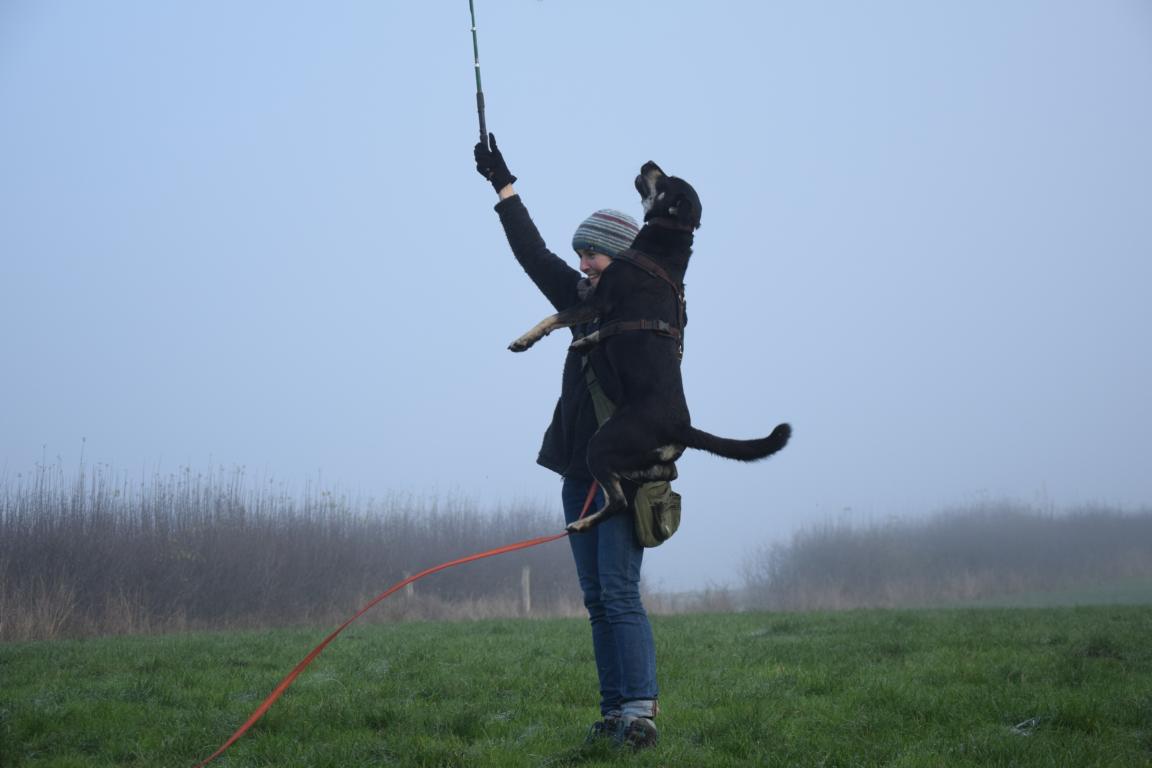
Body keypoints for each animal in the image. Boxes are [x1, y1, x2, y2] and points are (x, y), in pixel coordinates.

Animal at [513, 162, 792, 534]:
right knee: (663, 473)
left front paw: (524, 340)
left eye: (666, 180)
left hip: (602, 443)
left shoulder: (599, 301)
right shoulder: (604, 312)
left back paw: (583, 523)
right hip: (638, 454)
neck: (661, 248)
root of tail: (680, 427)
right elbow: (596, 332)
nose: (648, 162)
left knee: (618, 500)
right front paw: (585, 341)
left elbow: (555, 317)